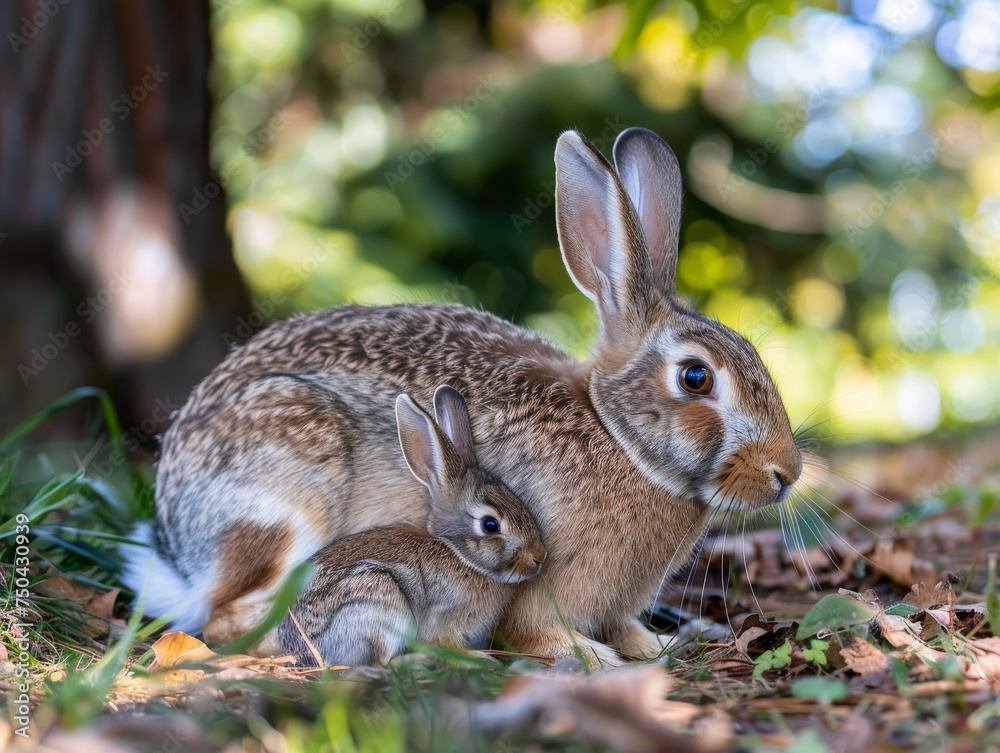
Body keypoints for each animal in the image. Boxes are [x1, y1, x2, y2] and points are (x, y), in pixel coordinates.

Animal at [278, 386, 546, 668]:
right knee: (382, 663)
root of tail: (303, 656)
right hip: (379, 602)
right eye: (490, 525)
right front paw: (479, 659)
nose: (540, 557)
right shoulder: (444, 617)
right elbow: (448, 645)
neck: (460, 555)